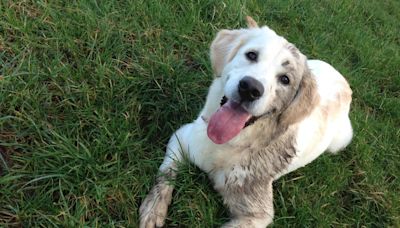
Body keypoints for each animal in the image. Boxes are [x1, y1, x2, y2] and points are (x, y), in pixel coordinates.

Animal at [139, 16, 352, 227]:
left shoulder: (256, 215)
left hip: (341, 140)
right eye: (251, 55)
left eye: (285, 79)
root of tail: (342, 78)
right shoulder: (181, 138)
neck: (228, 144)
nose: (250, 88)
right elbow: (165, 175)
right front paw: (153, 210)